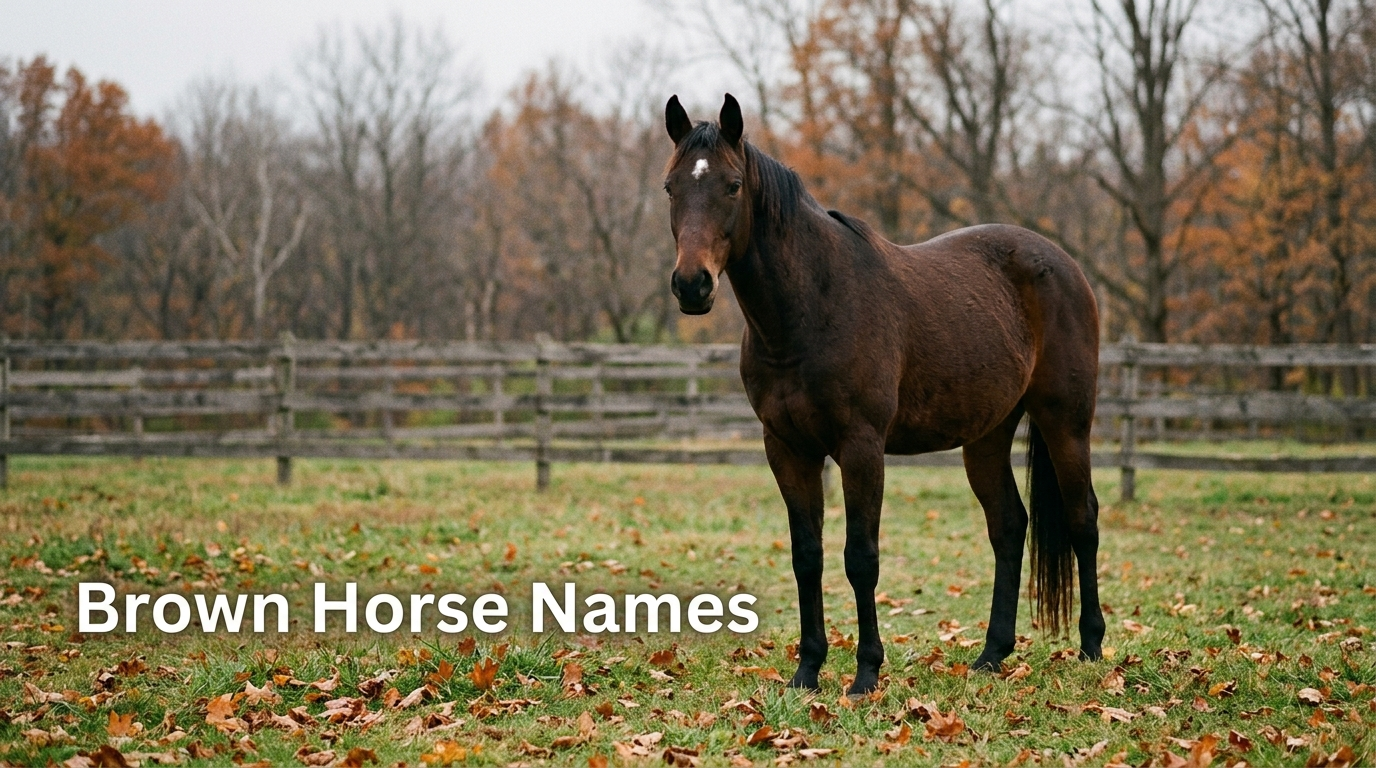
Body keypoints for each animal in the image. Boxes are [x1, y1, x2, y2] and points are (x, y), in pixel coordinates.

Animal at [662, 93, 1104, 696]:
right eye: (671, 187)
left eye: (731, 185)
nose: (692, 286)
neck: (811, 308)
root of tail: (1063, 264)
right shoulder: (787, 449)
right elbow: (808, 556)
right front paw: (807, 670)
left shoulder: (861, 447)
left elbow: (860, 558)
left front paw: (866, 672)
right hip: (988, 435)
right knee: (1009, 526)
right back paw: (991, 654)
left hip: (1066, 422)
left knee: (1083, 518)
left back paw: (1091, 648)